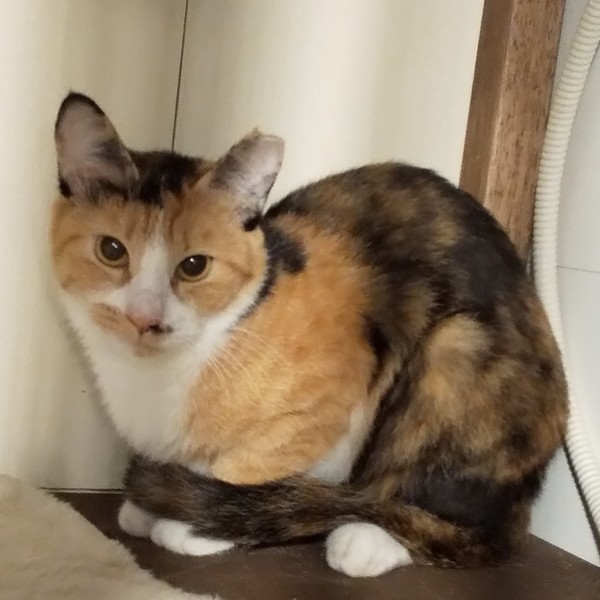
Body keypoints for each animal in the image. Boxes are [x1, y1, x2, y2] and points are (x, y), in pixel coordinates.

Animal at [51, 92, 567, 577]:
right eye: (111, 250)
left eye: (194, 265)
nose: (145, 318)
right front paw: (153, 505)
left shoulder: (330, 403)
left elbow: (251, 463)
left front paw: (190, 522)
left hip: (455, 350)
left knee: (463, 525)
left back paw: (363, 540)